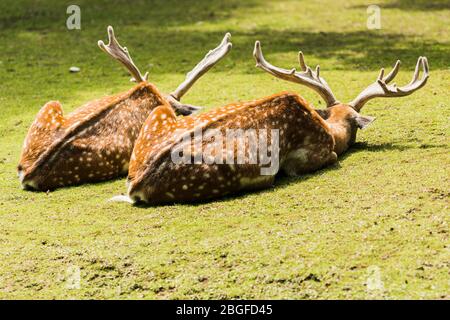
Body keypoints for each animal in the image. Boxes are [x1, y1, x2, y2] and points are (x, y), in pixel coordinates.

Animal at [115, 41, 426, 205]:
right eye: (354, 127)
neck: (329, 129)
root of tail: (136, 185)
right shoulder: (311, 155)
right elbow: (329, 157)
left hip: (156, 116)